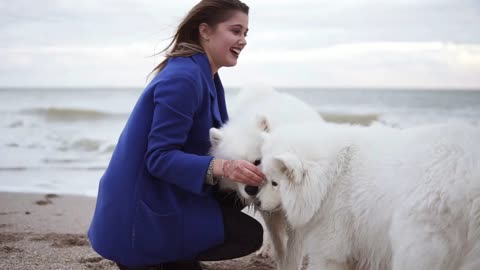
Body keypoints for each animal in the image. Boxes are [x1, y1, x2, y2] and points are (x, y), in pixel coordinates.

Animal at [209, 85, 322, 260]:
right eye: (234, 168)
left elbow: (293, 251)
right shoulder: (267, 209)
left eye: (258, 161)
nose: (251, 190)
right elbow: (279, 243)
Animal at [256, 122, 480, 270]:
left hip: (417, 245)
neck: (331, 176)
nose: (256, 201)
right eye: (264, 177)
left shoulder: (329, 249)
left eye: (275, 183)